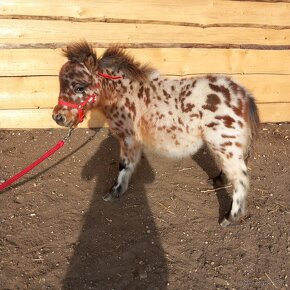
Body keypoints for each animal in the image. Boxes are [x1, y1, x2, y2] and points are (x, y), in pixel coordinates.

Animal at [52, 41, 260, 227]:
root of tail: (244, 96)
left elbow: (124, 165)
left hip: (225, 144)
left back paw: (229, 217)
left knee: (241, 178)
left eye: (79, 87)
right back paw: (218, 180)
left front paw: (114, 192)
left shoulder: (128, 138)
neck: (125, 94)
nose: (58, 117)